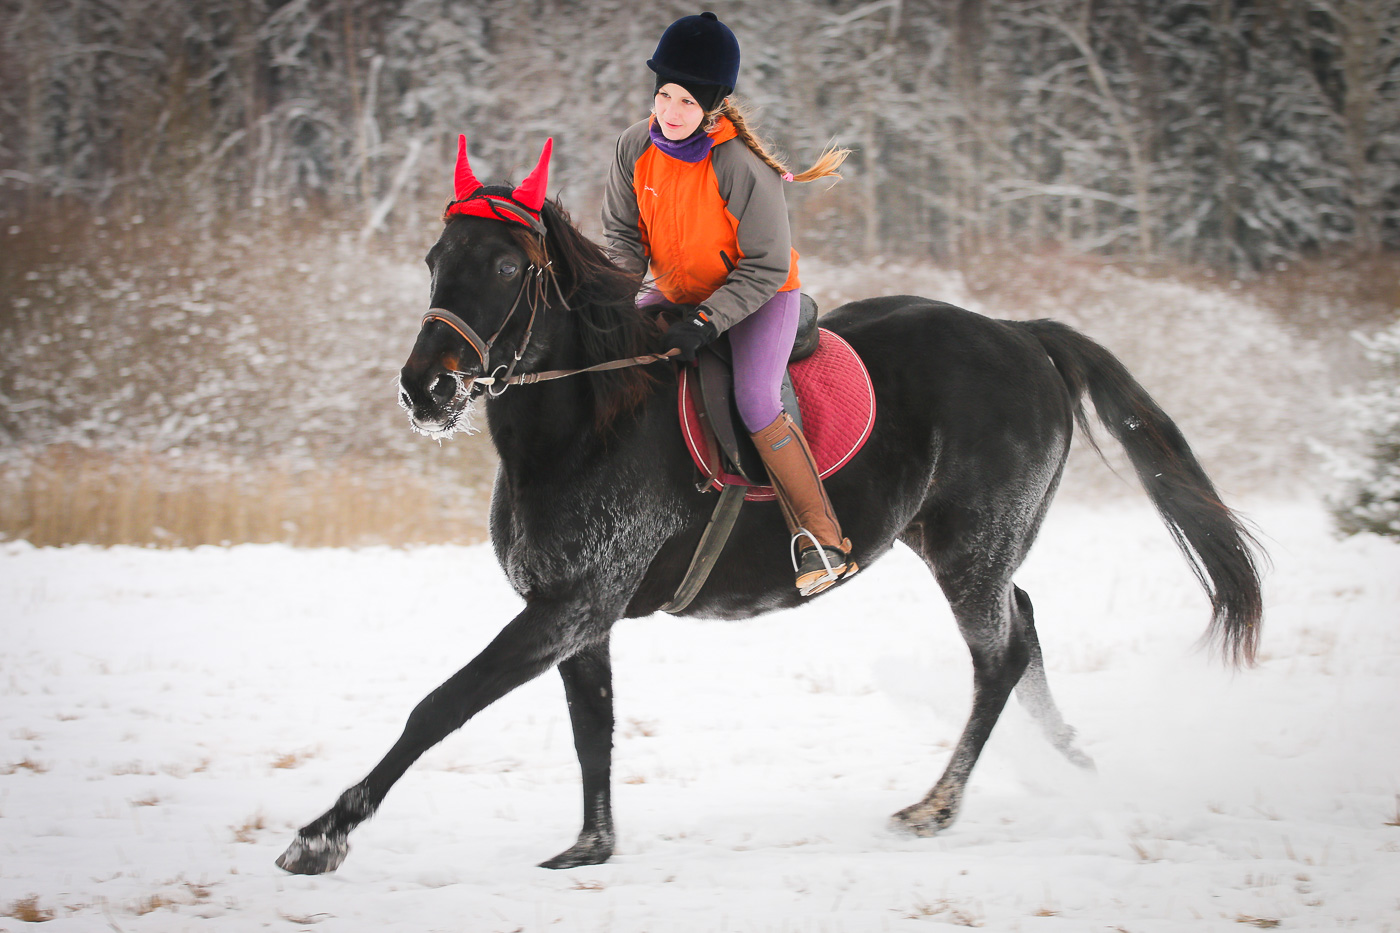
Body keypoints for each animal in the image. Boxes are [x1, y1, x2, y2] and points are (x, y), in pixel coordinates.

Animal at [278, 191, 1265, 874]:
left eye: (508, 270)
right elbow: (592, 726)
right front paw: (591, 845)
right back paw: (1077, 763)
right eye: (436, 258)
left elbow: (439, 705)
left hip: (969, 550)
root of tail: (1023, 335)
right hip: (964, 548)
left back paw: (935, 807)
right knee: (1025, 632)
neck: (587, 421)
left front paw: (321, 836)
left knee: (1001, 656)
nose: (426, 388)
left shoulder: (567, 606)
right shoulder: (576, 613)